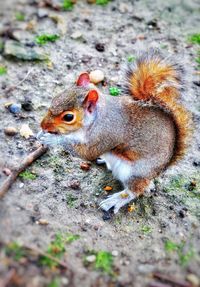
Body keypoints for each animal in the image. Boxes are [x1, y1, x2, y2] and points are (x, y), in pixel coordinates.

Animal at [37, 50, 191, 214]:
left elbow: (86, 153)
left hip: (135, 172)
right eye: (55, 98)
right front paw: (41, 133)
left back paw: (115, 200)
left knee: (136, 190)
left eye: (68, 117)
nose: (43, 125)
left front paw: (53, 140)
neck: (97, 118)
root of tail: (160, 170)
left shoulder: (105, 135)